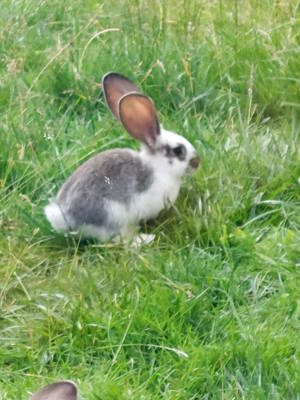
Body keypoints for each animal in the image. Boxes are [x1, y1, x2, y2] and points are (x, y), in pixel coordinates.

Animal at [44, 71, 199, 241]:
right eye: (178, 150)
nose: (197, 162)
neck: (158, 166)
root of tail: (65, 217)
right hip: (113, 215)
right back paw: (144, 239)